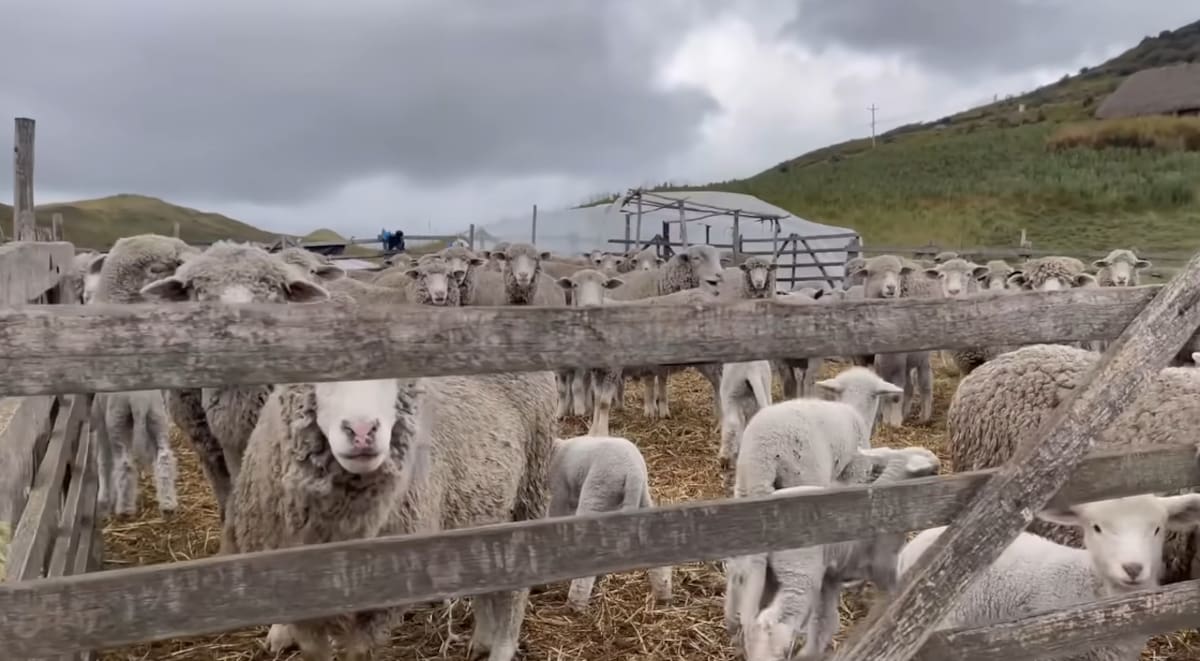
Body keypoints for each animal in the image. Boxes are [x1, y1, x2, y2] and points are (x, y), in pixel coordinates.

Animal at [231, 369, 557, 661]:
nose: (363, 432)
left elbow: (359, 653)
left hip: (529, 490)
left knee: (517, 589)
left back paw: (502, 648)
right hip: (484, 509)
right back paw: (482, 640)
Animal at [547, 435, 672, 610]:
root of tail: (633, 472)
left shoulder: (560, 492)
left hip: (598, 492)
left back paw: (575, 604)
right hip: (642, 498)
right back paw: (663, 596)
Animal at [728, 446, 941, 660]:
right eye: (932, 467)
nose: (940, 471)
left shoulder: (833, 575)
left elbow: (825, 619)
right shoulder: (884, 562)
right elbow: (891, 590)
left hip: (761, 574)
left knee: (748, 611)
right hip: (799, 573)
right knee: (773, 622)